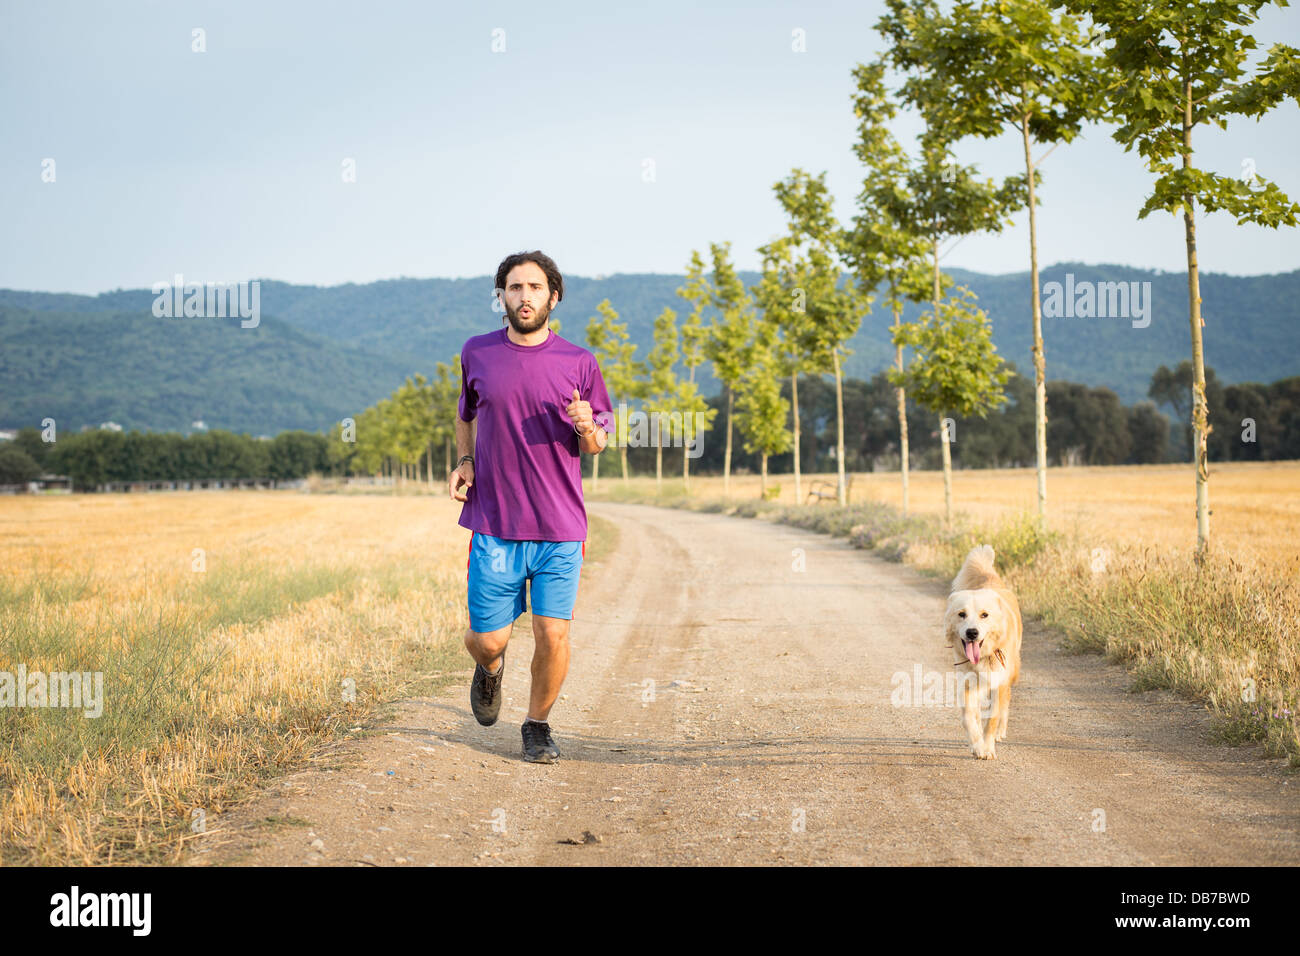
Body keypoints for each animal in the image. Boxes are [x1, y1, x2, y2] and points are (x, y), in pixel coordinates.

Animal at [951, 546, 1019, 764]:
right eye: (961, 614)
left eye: (984, 615)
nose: (972, 633)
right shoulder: (967, 682)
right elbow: (969, 717)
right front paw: (977, 745)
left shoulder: (999, 682)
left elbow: (993, 718)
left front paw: (988, 747)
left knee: (1005, 702)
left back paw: (1000, 732)